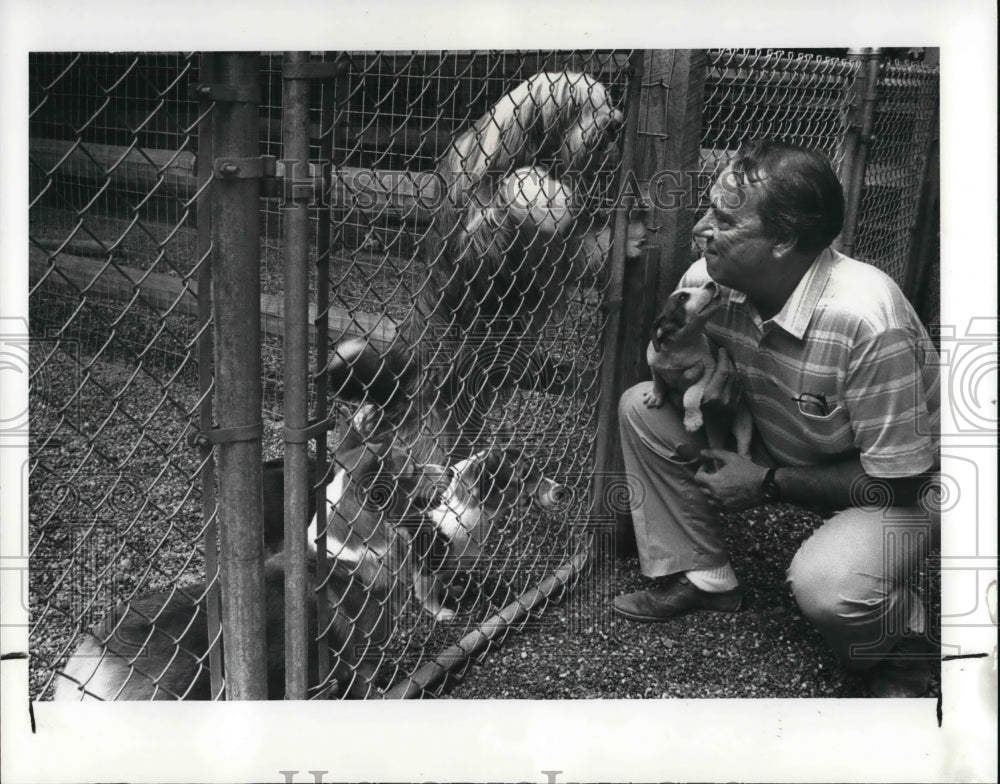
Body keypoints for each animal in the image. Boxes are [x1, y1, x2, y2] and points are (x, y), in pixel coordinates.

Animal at [648, 280, 752, 456]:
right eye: (682, 298)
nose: (711, 283)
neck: (679, 346)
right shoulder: (655, 365)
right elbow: (658, 381)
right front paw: (656, 395)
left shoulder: (706, 373)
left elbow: (689, 396)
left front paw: (692, 420)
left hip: (744, 426)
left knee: (744, 449)